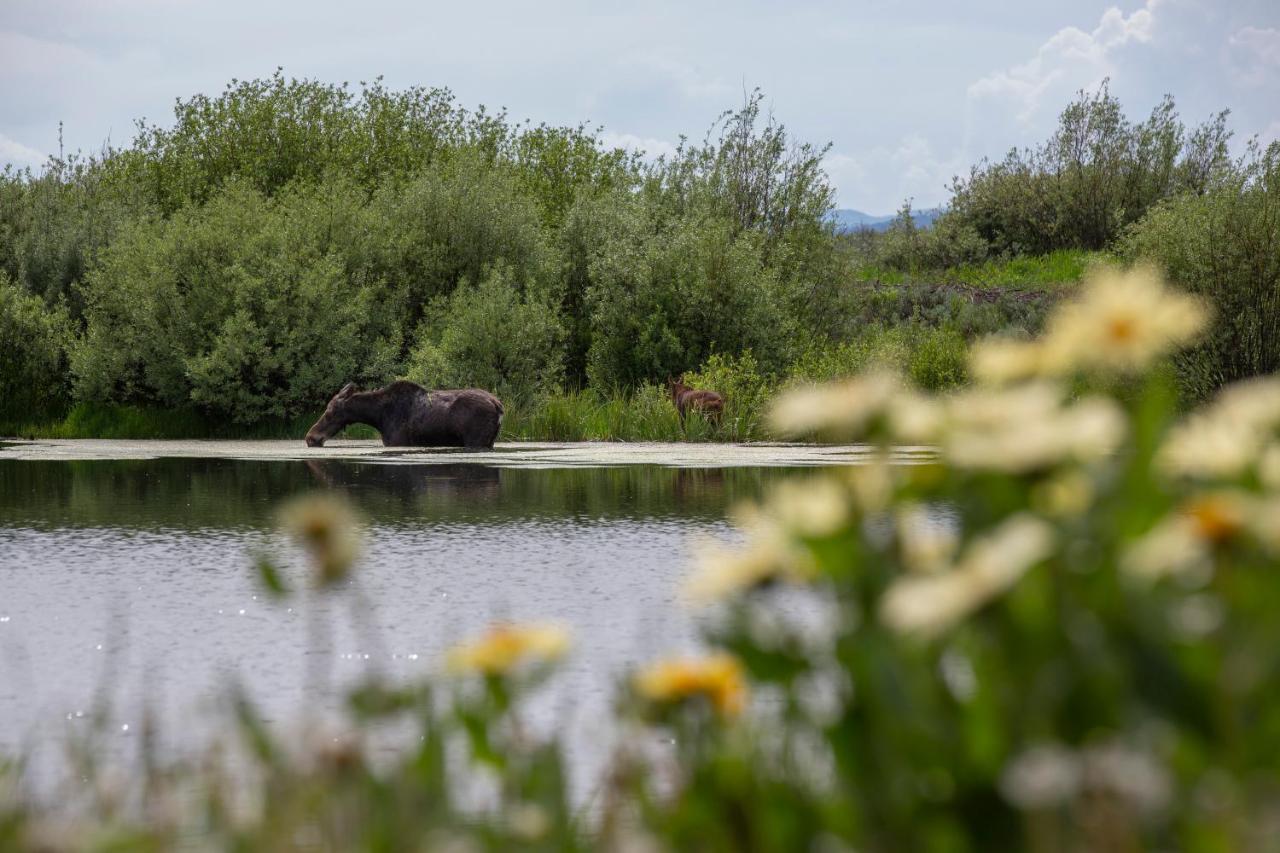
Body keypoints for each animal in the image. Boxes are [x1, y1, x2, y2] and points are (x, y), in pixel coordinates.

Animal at [305, 376, 504, 445]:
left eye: (330, 412)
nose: (310, 438)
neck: (378, 418)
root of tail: (499, 406)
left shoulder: (397, 442)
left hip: (476, 440)